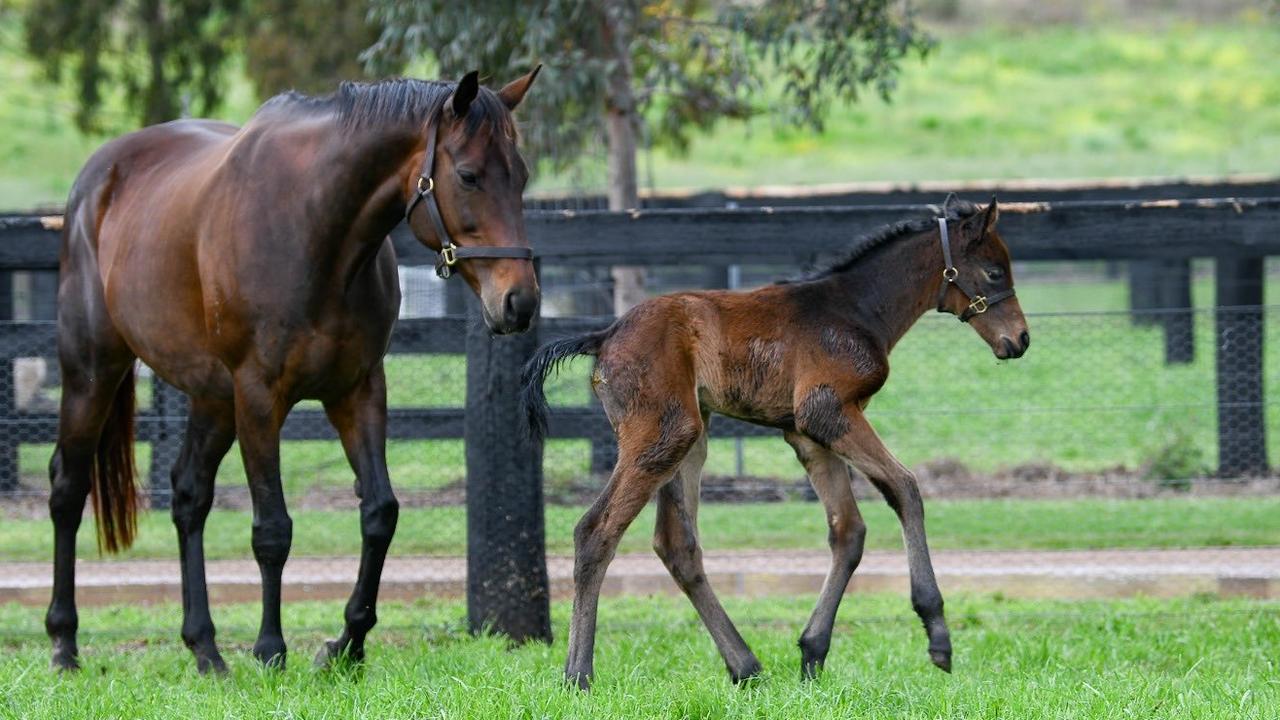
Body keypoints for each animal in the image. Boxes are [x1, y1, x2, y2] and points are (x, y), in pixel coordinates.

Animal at [48, 70, 540, 671]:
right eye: (469, 176)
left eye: (520, 176)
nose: (519, 302)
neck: (314, 232)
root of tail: (96, 179)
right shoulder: (260, 397)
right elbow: (272, 530)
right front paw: (270, 650)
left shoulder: (358, 391)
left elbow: (380, 513)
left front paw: (346, 644)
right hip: (92, 371)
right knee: (68, 489)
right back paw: (64, 644)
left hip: (212, 398)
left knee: (189, 496)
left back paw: (205, 649)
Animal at [519, 194, 1029, 681]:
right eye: (994, 270)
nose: (1021, 340)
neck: (857, 308)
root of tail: (604, 336)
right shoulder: (827, 411)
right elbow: (904, 487)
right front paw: (936, 633)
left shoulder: (808, 435)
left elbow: (848, 530)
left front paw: (812, 652)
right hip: (662, 435)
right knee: (596, 531)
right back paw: (578, 674)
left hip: (689, 438)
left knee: (677, 544)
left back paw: (745, 666)